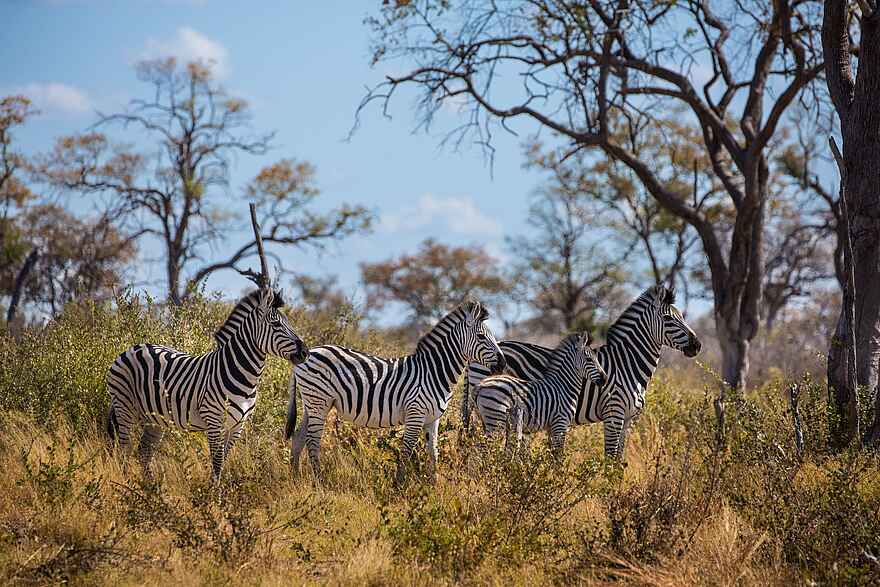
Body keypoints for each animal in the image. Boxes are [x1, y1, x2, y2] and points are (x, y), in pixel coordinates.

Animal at [106, 288, 309, 479]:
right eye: (276, 324)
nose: (305, 352)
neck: (243, 374)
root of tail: (133, 348)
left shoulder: (238, 425)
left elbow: (224, 459)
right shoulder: (214, 421)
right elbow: (217, 462)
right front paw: (213, 493)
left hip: (155, 418)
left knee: (144, 452)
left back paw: (152, 489)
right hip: (124, 406)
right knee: (124, 450)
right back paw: (129, 483)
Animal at [285, 300, 505, 481]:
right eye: (481, 336)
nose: (503, 363)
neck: (433, 371)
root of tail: (309, 353)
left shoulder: (433, 419)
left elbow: (433, 453)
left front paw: (434, 486)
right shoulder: (415, 414)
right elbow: (406, 450)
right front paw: (398, 485)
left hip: (312, 404)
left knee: (298, 438)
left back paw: (295, 478)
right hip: (319, 401)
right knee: (312, 441)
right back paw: (319, 480)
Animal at [473, 332, 607, 452]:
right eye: (589, 359)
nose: (605, 379)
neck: (564, 385)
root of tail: (480, 385)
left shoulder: (551, 426)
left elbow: (551, 453)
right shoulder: (560, 422)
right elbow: (558, 454)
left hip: (487, 419)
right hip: (496, 420)